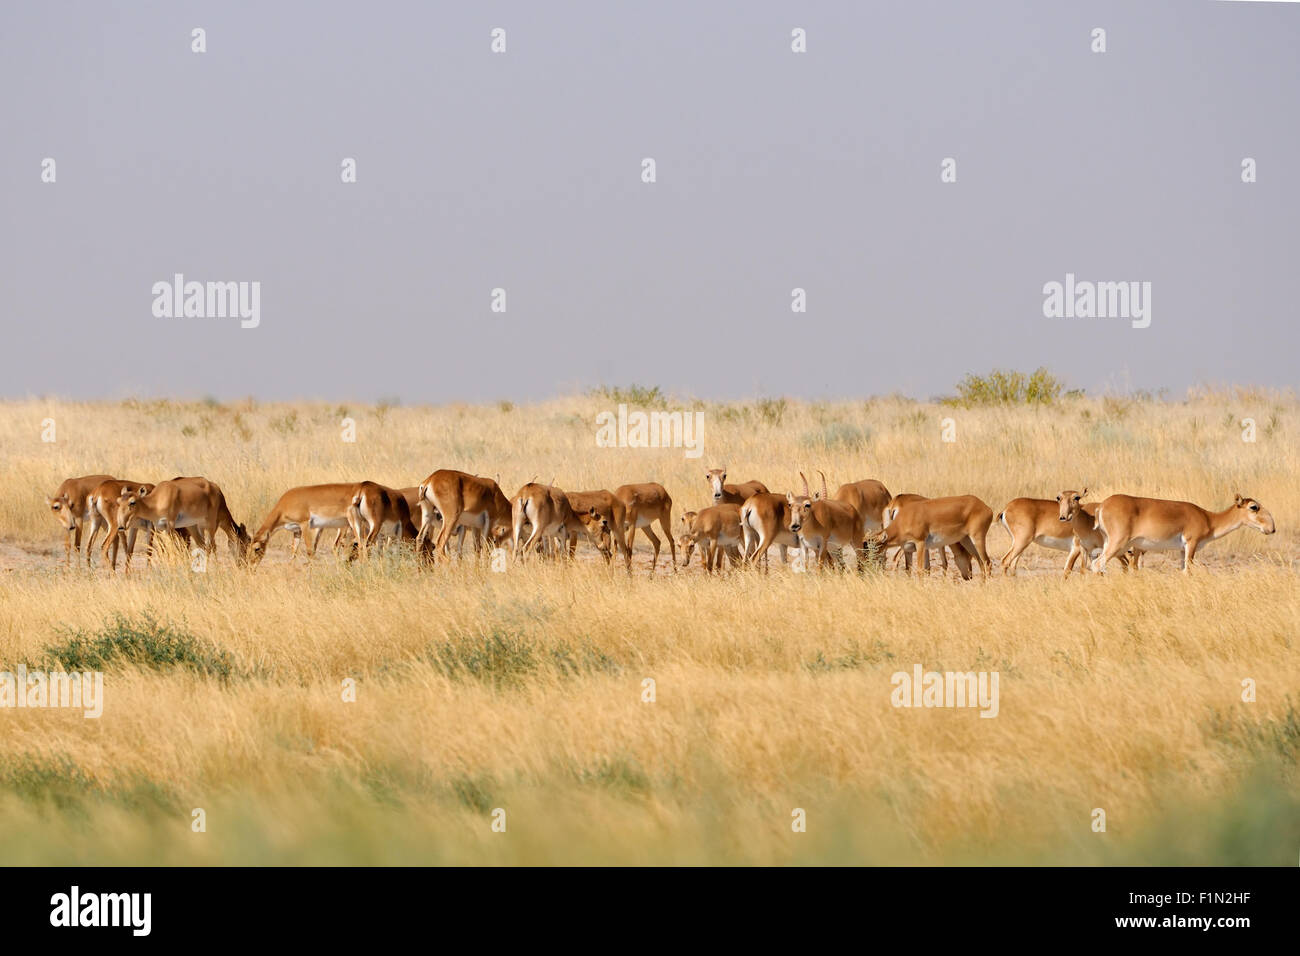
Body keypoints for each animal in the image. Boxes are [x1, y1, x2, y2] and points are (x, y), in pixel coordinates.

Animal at [1092, 489, 1274, 572]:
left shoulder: (1181, 550)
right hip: (1117, 543)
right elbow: (1188, 572)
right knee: (1097, 564)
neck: (1208, 518)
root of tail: (1102, 506)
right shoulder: (1191, 544)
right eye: (1254, 507)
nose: (1271, 528)